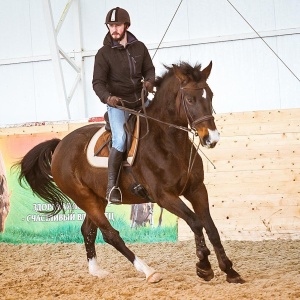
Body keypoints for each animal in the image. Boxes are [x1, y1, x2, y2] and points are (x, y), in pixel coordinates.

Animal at [16, 61, 244, 284]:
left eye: (210, 95)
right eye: (190, 99)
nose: (211, 138)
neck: (168, 142)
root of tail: (60, 144)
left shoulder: (196, 189)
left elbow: (211, 228)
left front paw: (230, 271)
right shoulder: (164, 197)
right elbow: (196, 223)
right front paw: (204, 267)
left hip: (97, 198)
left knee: (88, 230)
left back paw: (96, 271)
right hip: (84, 198)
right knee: (110, 235)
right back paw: (148, 271)